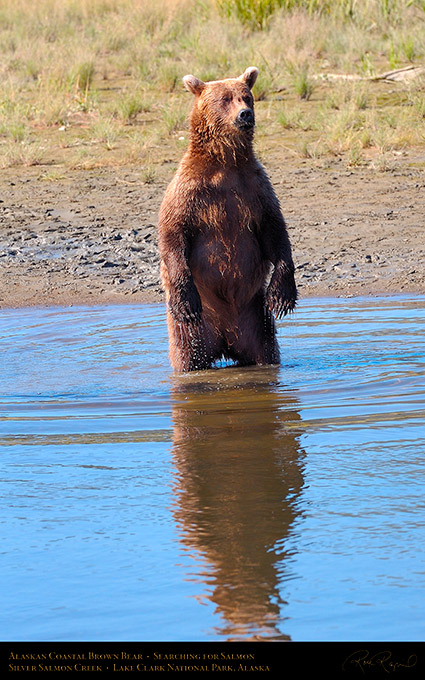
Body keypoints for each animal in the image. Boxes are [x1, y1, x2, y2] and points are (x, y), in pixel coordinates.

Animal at [157, 67, 296, 374]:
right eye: (225, 99)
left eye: (247, 96)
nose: (245, 114)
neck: (225, 162)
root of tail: (224, 342)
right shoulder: (189, 191)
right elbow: (173, 233)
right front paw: (186, 301)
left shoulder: (255, 189)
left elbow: (275, 232)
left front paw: (282, 295)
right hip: (193, 331)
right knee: (187, 356)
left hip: (256, 319)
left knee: (266, 352)